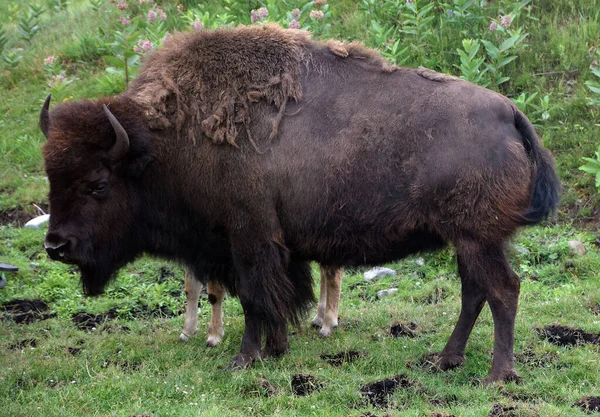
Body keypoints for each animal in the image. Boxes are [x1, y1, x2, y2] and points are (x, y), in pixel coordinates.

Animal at [41, 22, 556, 380]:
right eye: (51, 176)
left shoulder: (248, 237)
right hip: (469, 240)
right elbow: (274, 295)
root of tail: (508, 112)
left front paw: (244, 358)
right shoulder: (265, 245)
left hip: (476, 238)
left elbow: (255, 296)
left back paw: (496, 375)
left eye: (98, 183)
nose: (55, 246)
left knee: (502, 290)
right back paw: (446, 360)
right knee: (475, 292)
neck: (161, 144)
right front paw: (275, 349)